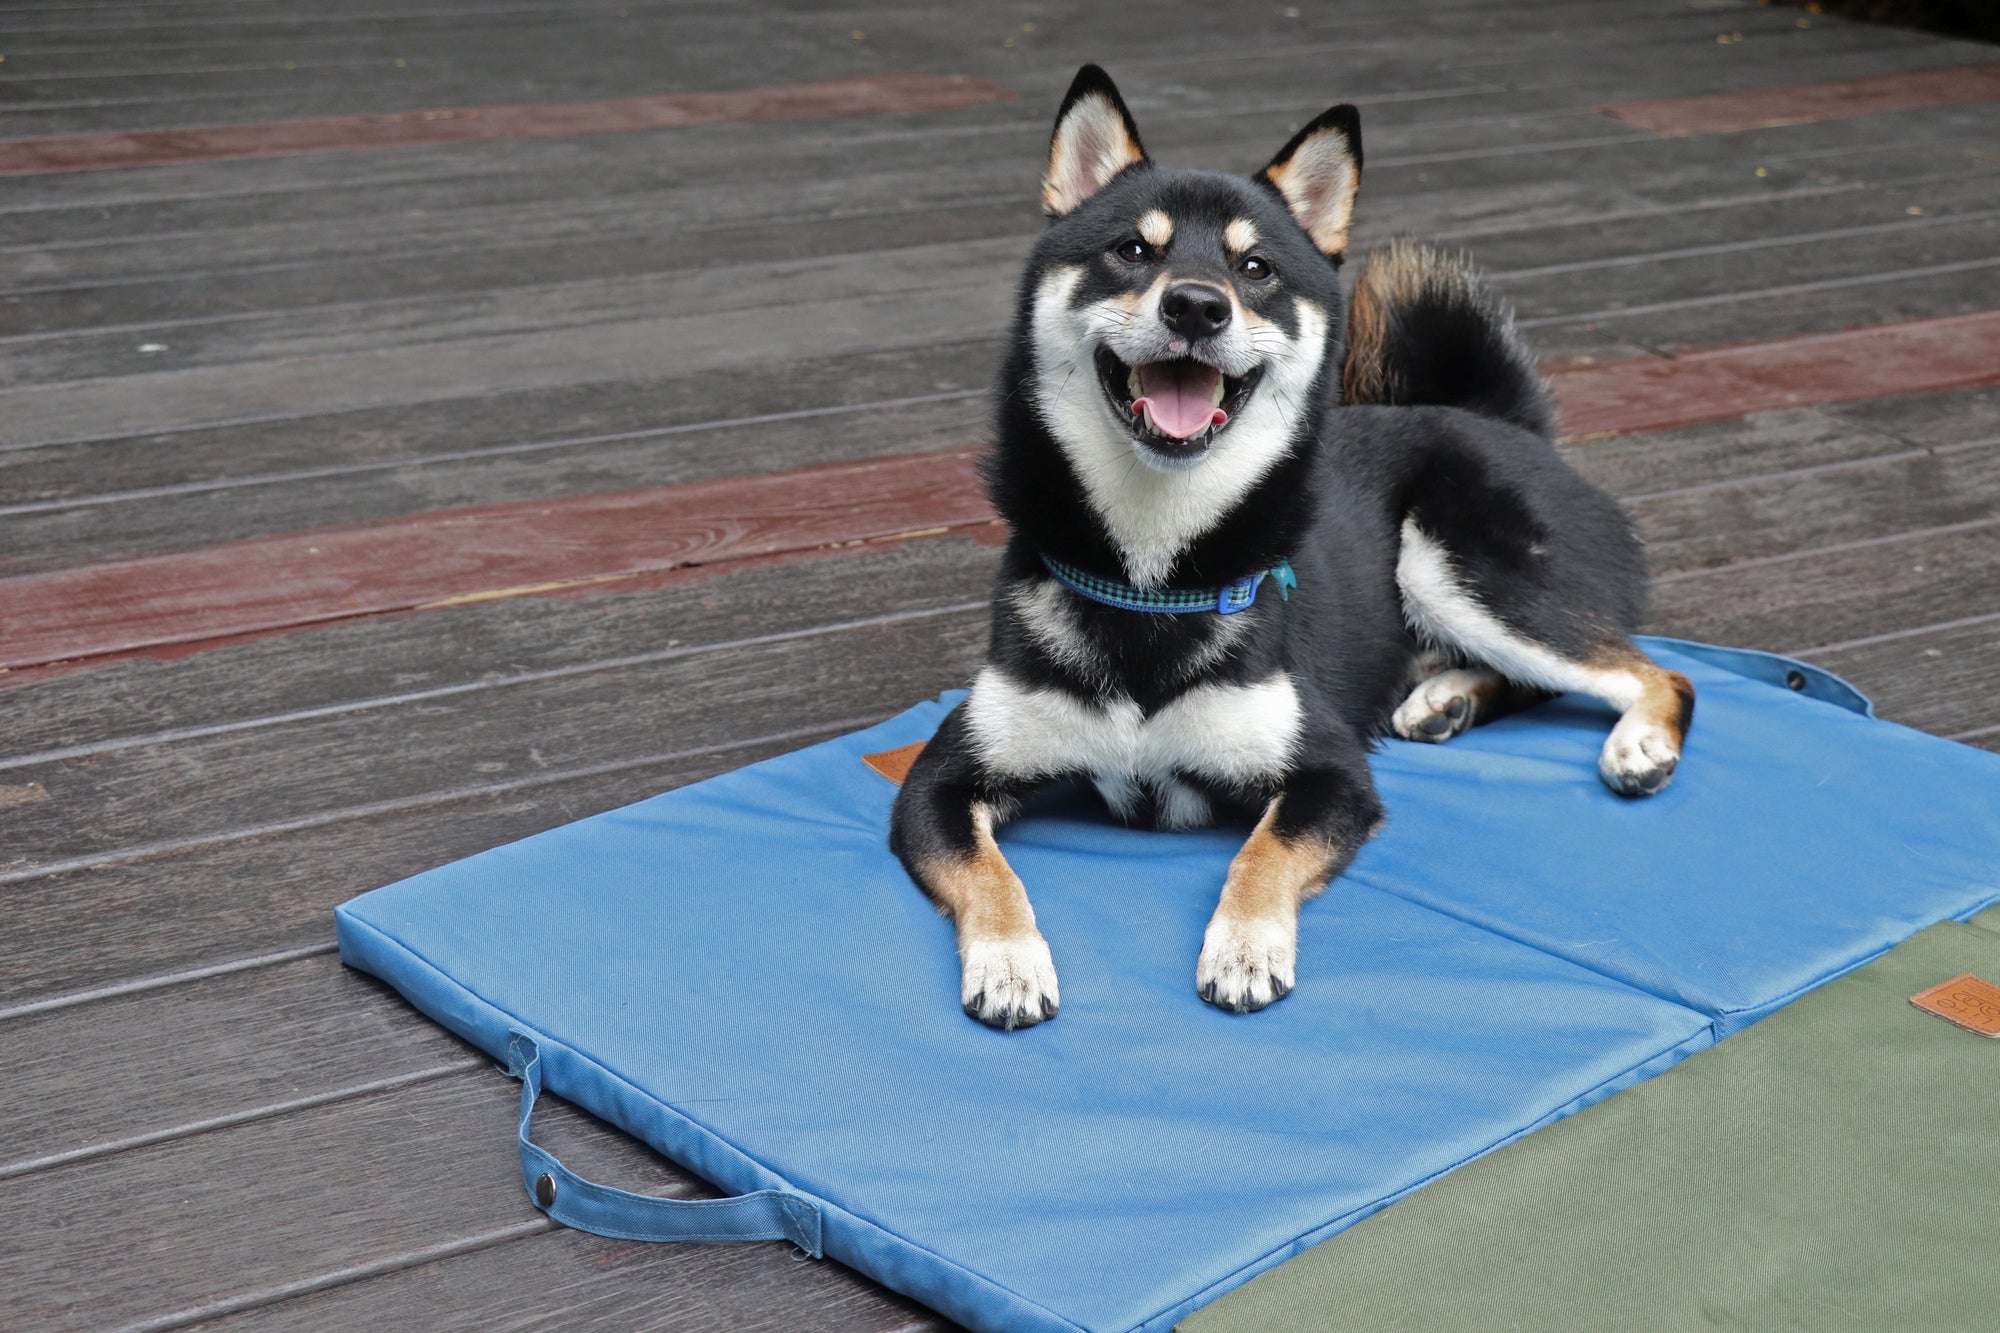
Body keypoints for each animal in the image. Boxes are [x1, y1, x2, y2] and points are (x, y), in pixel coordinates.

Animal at [892, 67, 1688, 1024]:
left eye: (1255, 268)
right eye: (1132, 251)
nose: (1196, 305)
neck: (1153, 579)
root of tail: (1508, 424)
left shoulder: (1328, 774)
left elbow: (1260, 854)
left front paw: (1243, 945)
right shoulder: (941, 778)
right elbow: (988, 873)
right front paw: (1010, 959)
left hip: (1450, 564)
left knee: (1653, 672)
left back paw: (1637, 743)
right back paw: (1445, 699)